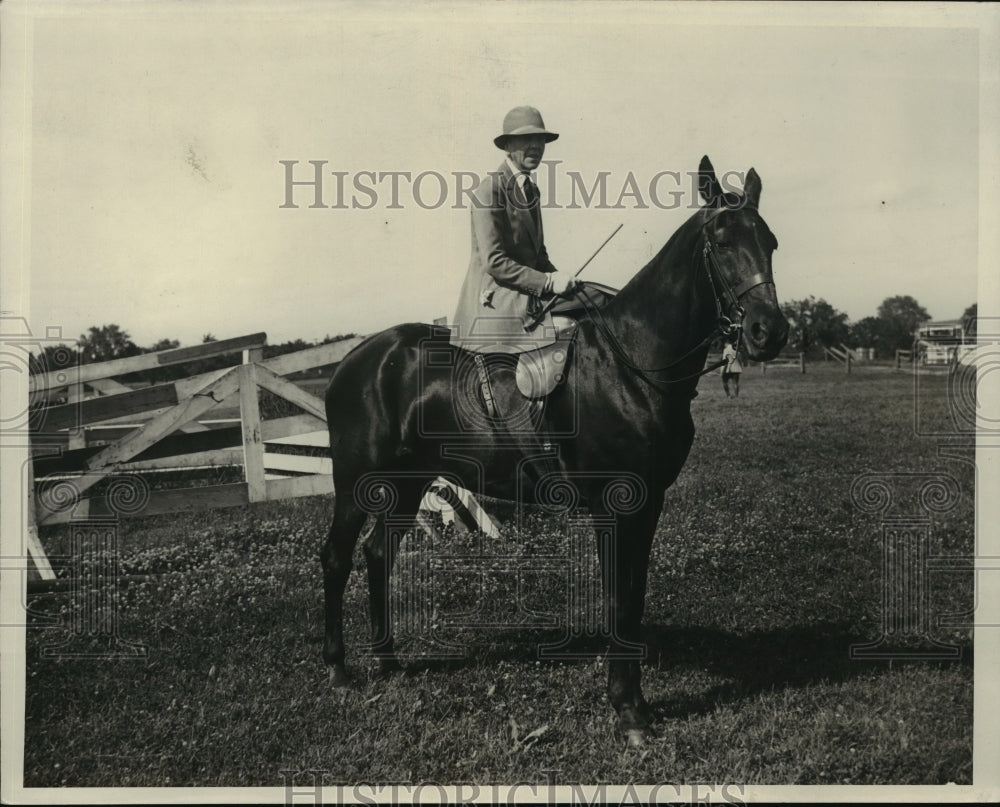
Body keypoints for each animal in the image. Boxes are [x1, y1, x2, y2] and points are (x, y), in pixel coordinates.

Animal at [322, 156, 788, 744]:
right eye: (722, 242)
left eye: (770, 241)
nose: (769, 332)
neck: (632, 364)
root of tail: (358, 357)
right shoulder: (616, 504)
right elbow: (618, 597)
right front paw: (628, 710)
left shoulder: (650, 502)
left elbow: (634, 595)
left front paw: (634, 702)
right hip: (356, 485)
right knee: (337, 558)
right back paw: (339, 669)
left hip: (407, 485)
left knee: (378, 554)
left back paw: (387, 661)